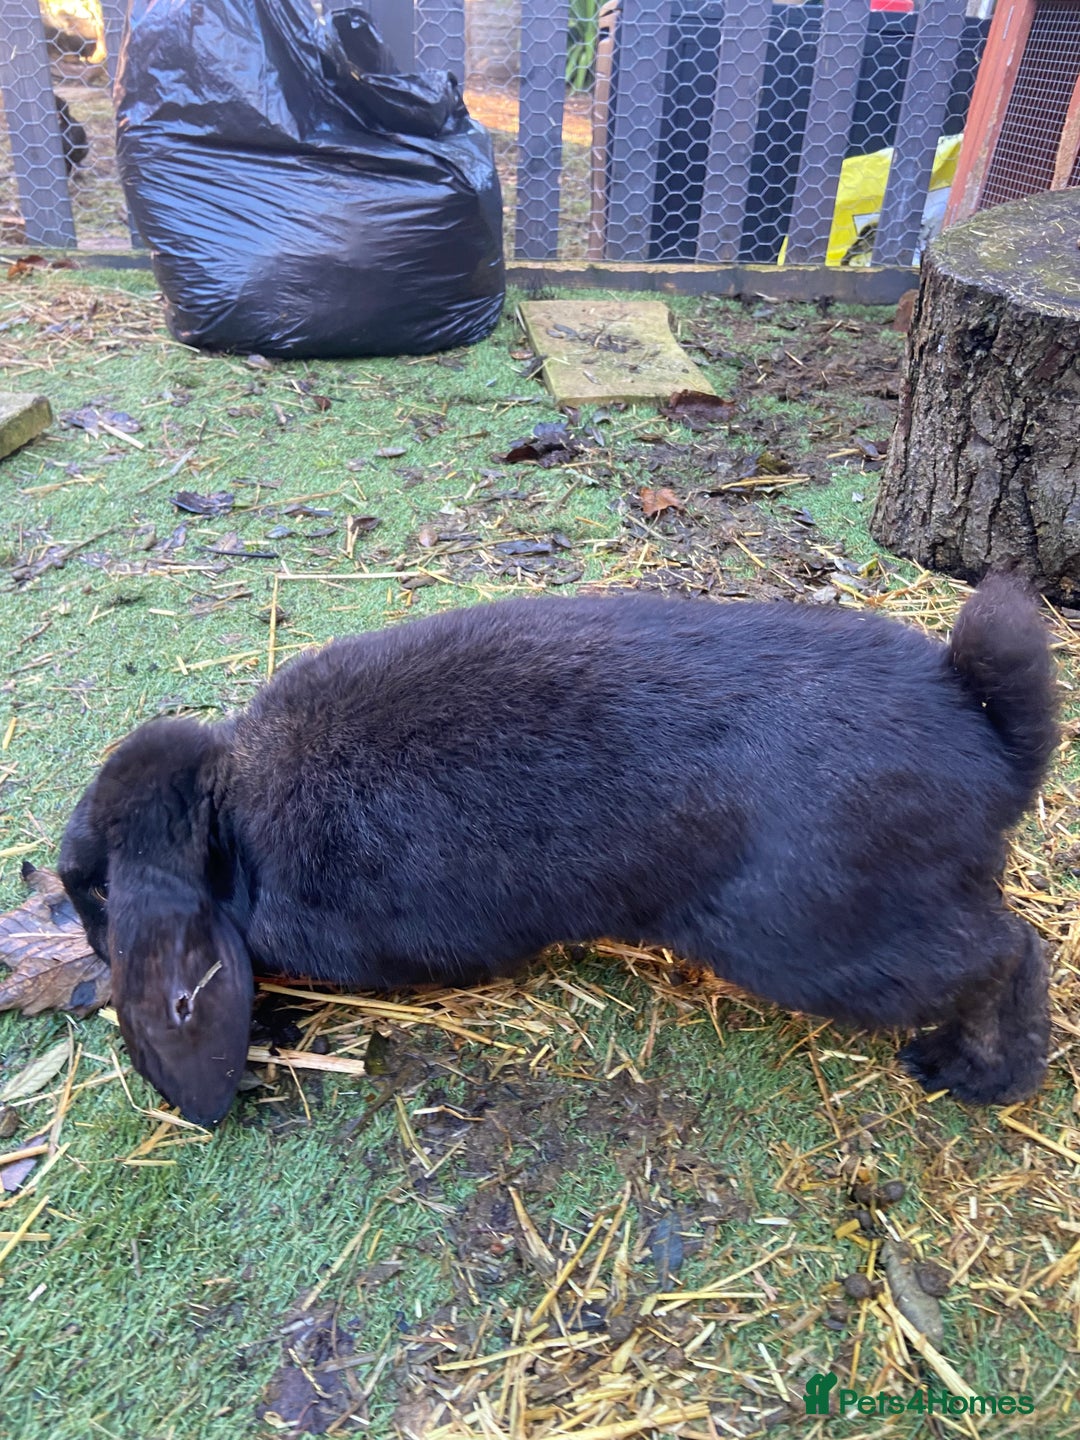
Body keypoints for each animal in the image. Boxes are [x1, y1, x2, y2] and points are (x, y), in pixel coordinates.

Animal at [58, 576, 1058, 1126]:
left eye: (94, 891)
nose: (89, 955)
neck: (235, 819)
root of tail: (993, 746)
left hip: (816, 941)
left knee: (1011, 952)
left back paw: (974, 1076)